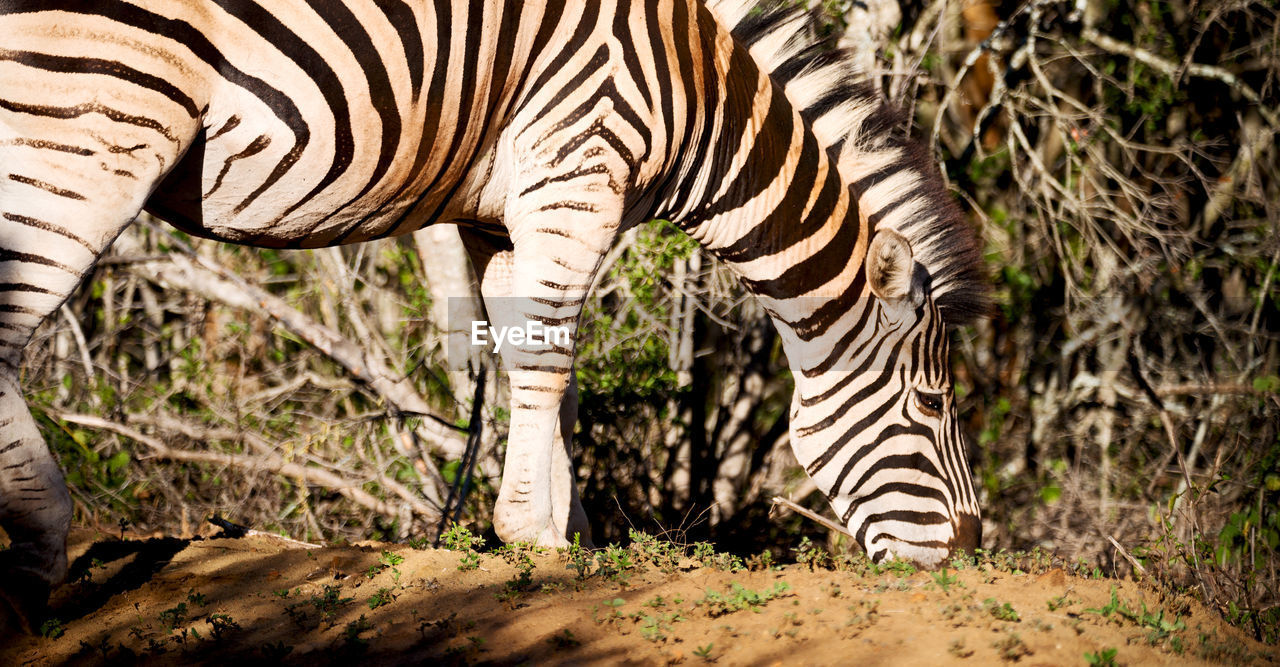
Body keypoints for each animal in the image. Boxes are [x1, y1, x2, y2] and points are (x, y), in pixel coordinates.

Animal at [0, 0, 988, 627]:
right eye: (934, 405)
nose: (973, 557)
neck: (699, 96)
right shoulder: (575, 172)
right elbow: (550, 358)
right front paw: (537, 537)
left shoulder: (500, 214)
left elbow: (538, 367)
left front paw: (572, 532)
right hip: (92, 123)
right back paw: (40, 550)